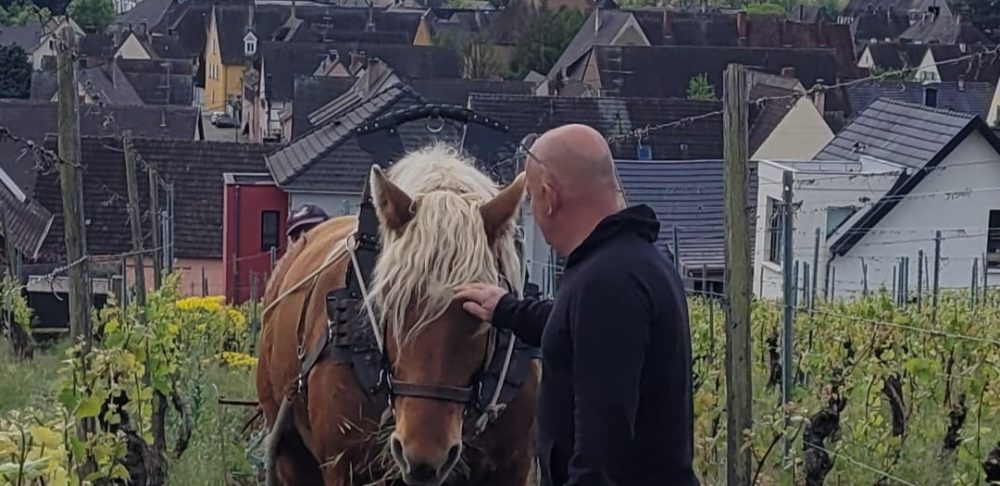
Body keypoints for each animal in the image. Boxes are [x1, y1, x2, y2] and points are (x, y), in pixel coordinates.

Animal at [257, 143, 540, 486]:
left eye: (479, 315)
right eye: (390, 304)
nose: (423, 456)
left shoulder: (513, 467)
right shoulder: (344, 467)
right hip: (290, 453)